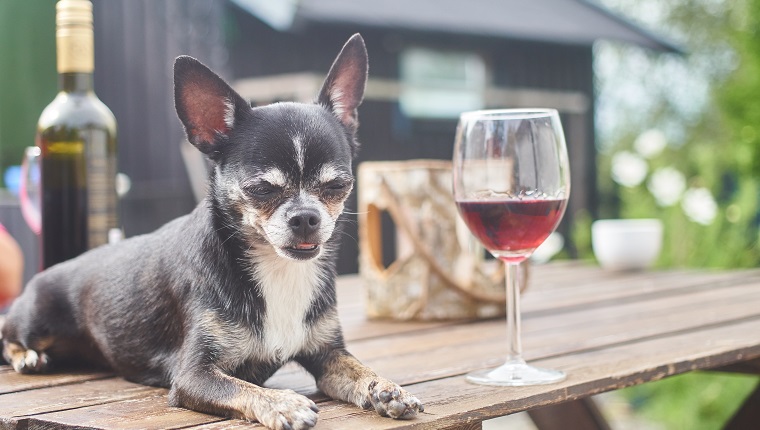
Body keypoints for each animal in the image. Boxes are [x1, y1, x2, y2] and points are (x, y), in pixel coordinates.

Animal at [1, 34, 422, 430]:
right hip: (36, 318)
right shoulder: (194, 376)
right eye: (261, 188)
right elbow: (242, 388)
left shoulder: (328, 354)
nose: (305, 217)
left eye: (337, 185)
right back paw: (29, 356)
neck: (277, 269)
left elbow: (357, 369)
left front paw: (385, 387)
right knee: (8, 337)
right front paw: (282, 402)